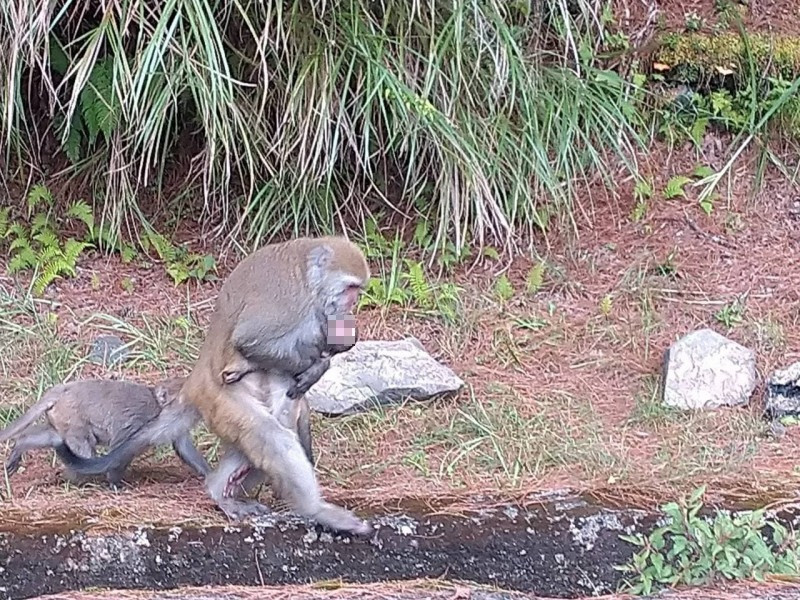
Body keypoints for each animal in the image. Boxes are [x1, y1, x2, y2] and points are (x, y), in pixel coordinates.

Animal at [2, 378, 209, 486]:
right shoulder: (141, 417)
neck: (158, 405)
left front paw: (208, 474)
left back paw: (21, 444)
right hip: (71, 416)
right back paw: (78, 480)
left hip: (60, 417)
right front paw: (115, 483)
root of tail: (63, 389)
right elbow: (121, 444)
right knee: (84, 447)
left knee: (55, 437)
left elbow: (182, 446)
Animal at [186, 234, 370, 536]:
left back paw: (218, 489)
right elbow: (250, 340)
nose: (353, 302)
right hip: (220, 400)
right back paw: (316, 510)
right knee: (273, 437)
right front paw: (318, 363)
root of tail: (198, 375)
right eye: (351, 288)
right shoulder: (291, 302)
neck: (309, 277)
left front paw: (318, 366)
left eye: (358, 289)